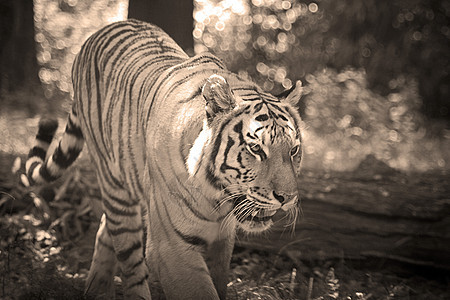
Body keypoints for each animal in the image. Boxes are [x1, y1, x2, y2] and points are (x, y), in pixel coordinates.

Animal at [21, 19, 302, 300]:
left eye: (293, 150)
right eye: (255, 148)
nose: (286, 198)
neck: (217, 199)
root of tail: (100, 32)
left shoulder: (222, 243)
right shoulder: (172, 247)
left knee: (104, 231)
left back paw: (96, 291)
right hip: (116, 190)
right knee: (128, 258)